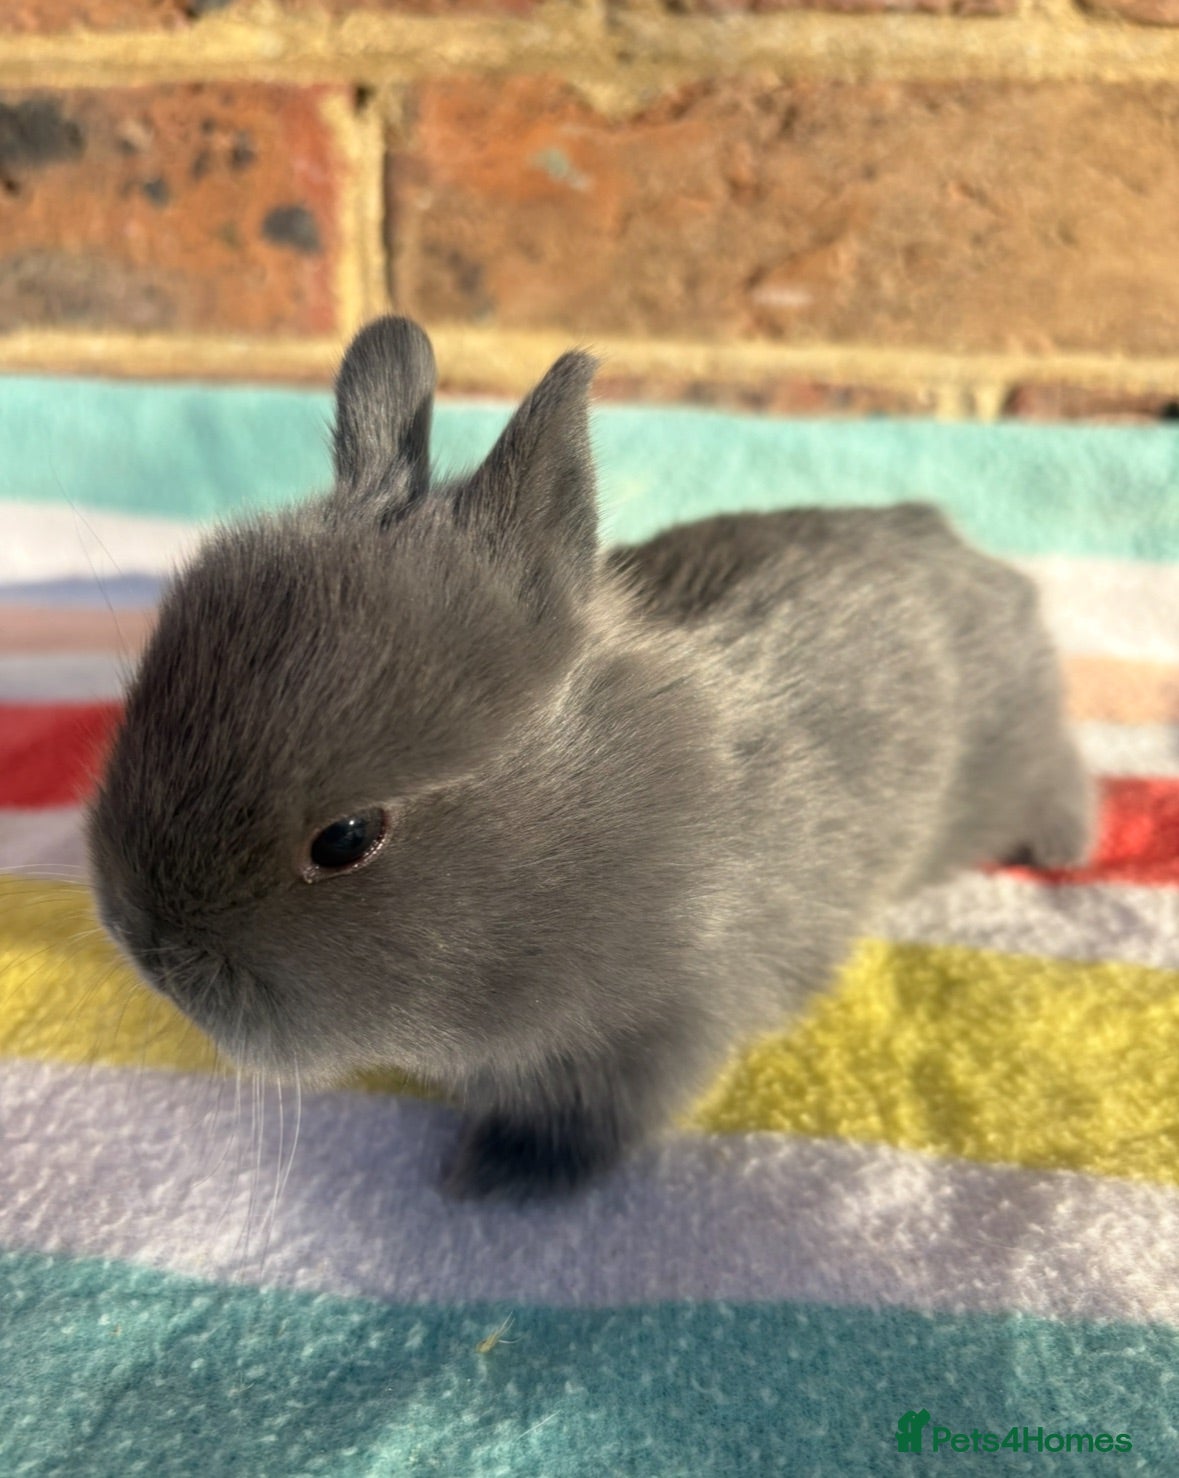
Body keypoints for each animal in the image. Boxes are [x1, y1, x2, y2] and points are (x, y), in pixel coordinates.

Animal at [87, 315, 1096, 1201]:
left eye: (344, 837)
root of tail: (978, 563)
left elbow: (581, 1125)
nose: (145, 947)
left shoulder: (644, 1040)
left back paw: (1068, 847)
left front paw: (490, 1181)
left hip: (1017, 754)